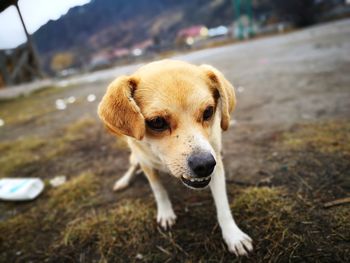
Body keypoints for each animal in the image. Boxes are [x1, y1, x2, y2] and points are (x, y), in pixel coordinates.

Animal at [97, 60, 253, 258]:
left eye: (208, 111)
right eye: (157, 122)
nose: (205, 164)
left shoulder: (216, 164)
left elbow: (223, 205)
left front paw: (233, 236)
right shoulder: (146, 164)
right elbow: (159, 190)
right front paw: (165, 213)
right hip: (134, 157)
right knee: (132, 167)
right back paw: (123, 181)